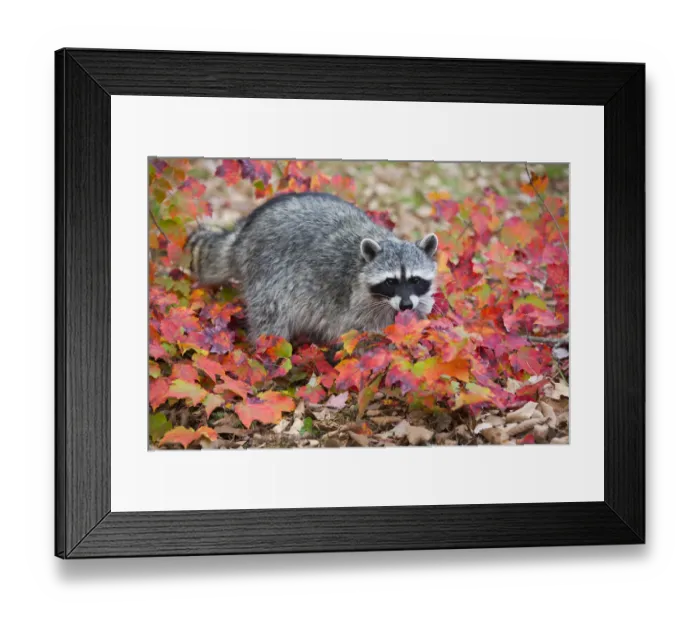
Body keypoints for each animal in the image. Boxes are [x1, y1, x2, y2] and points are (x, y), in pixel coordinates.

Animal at [186, 192, 438, 344]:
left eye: (415, 280)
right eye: (390, 281)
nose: (405, 305)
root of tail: (243, 236)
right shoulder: (355, 304)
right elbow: (357, 331)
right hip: (269, 274)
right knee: (271, 317)